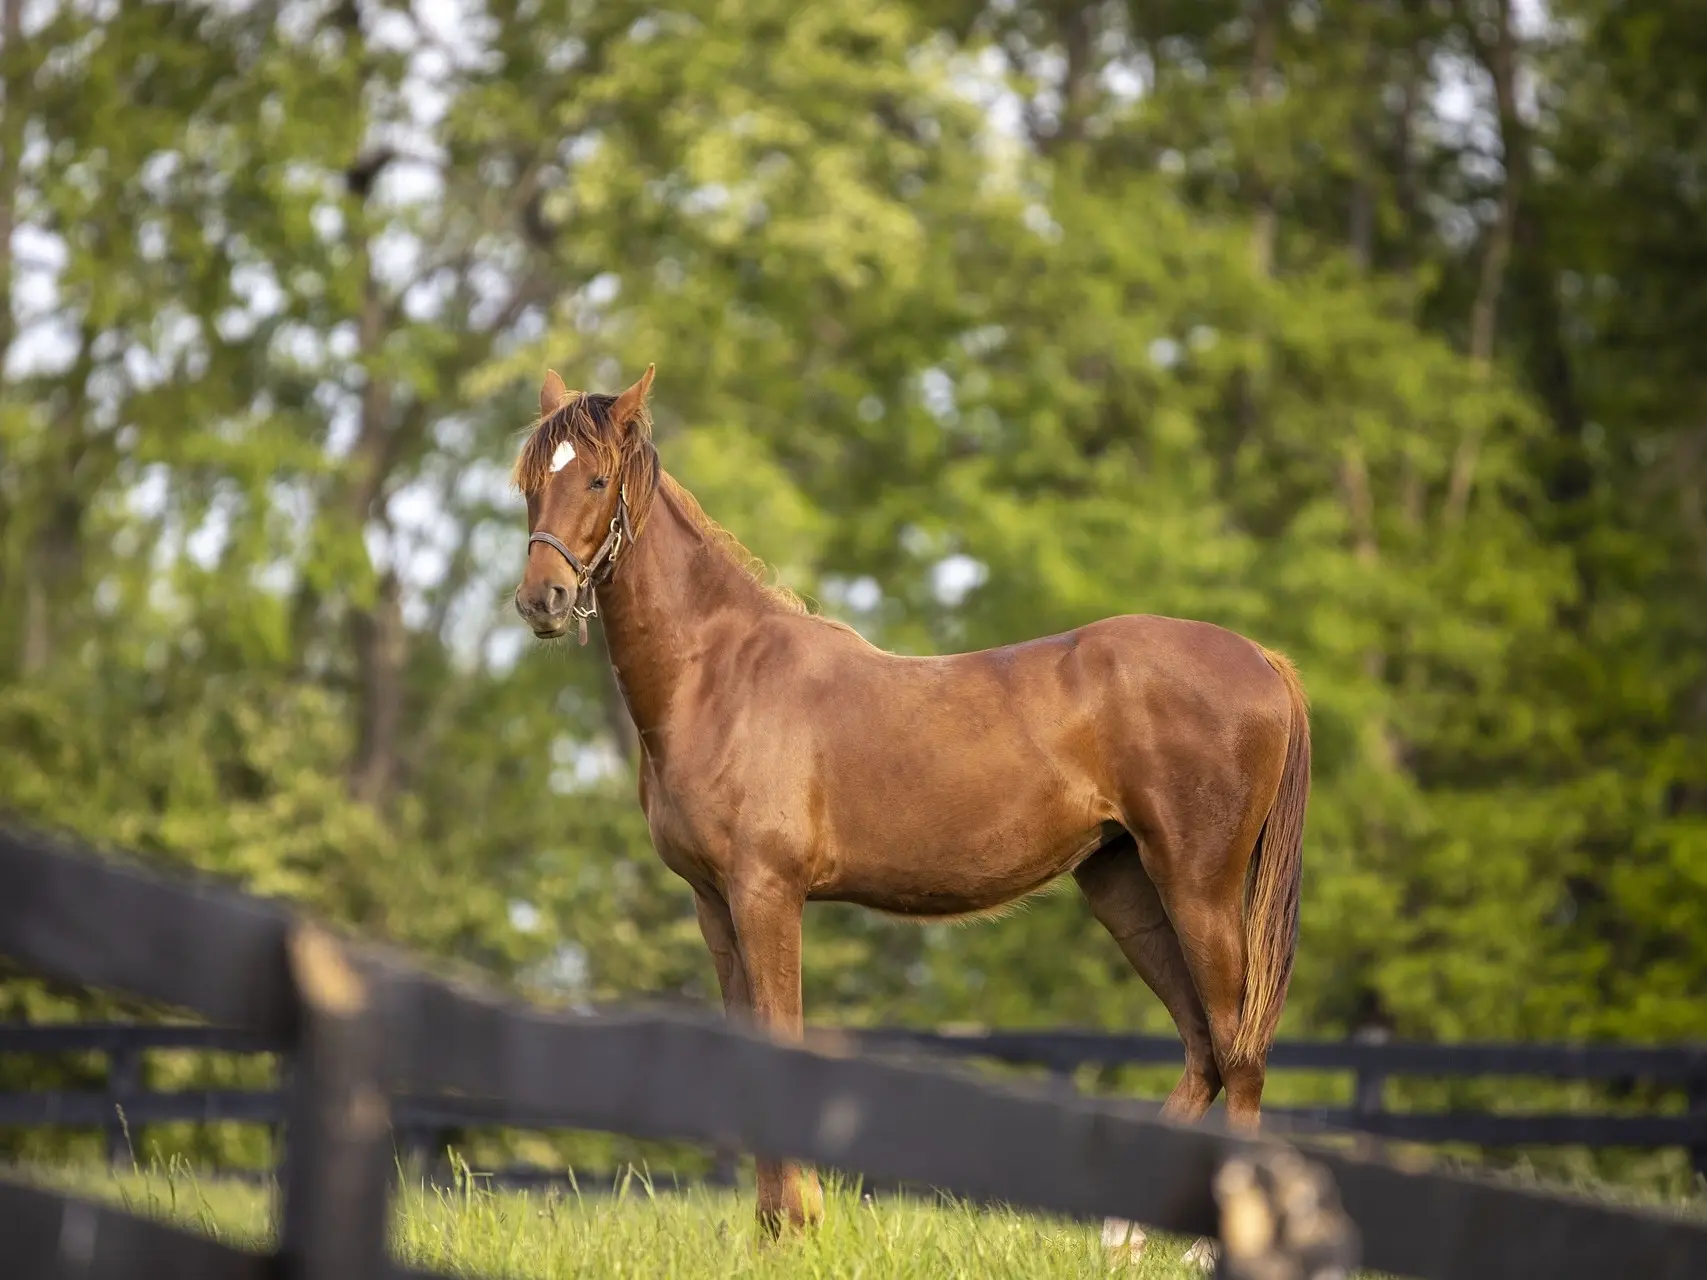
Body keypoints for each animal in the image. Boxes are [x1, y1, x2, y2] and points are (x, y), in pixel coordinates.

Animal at [512, 365, 1310, 1256]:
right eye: (528, 483)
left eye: (596, 479)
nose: (542, 599)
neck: (719, 674)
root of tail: (1261, 661)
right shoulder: (712, 902)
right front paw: (774, 1227)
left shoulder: (766, 893)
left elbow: (782, 1042)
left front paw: (797, 1226)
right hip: (1122, 885)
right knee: (1203, 1047)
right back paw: (1123, 1235)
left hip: (1197, 887)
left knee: (1238, 1050)